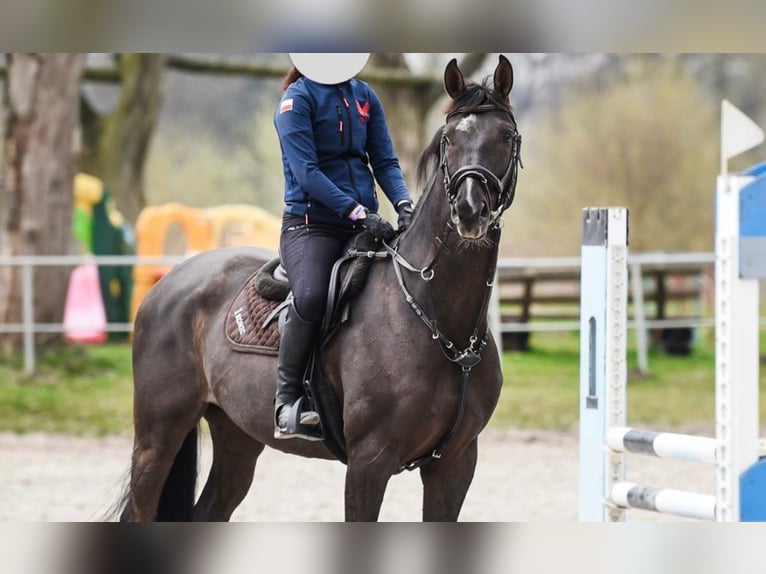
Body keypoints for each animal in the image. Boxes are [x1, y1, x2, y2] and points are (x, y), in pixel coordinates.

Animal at [120, 54, 522, 521]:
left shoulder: (455, 464)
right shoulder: (370, 462)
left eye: (506, 135)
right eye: (449, 140)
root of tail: (167, 284)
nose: (469, 210)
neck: (439, 323)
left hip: (236, 436)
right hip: (158, 436)